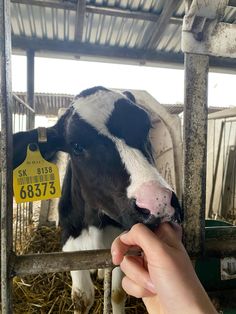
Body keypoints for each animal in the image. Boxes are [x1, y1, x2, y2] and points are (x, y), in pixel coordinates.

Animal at [13, 86, 183, 314]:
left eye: (145, 127)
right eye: (76, 146)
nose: (159, 202)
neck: (95, 222)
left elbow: (117, 293)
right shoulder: (69, 244)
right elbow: (82, 298)